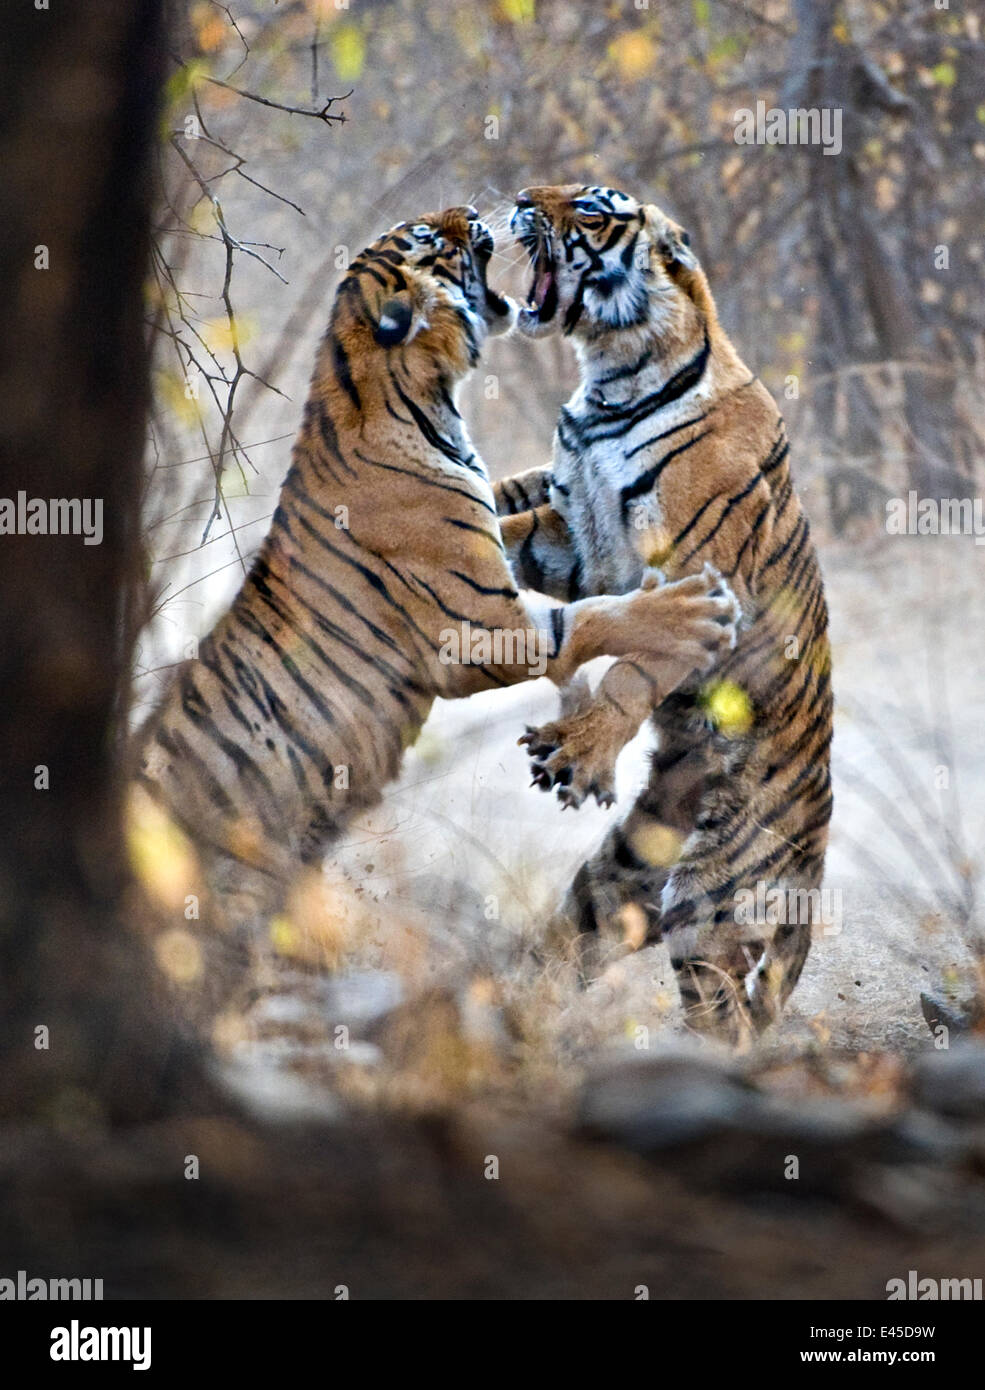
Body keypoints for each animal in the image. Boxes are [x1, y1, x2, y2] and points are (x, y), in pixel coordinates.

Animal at [136, 201, 739, 1000]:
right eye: (426, 240)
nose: (472, 210)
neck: (404, 389)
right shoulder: (478, 628)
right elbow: (588, 618)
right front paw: (693, 612)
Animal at [494, 184, 833, 1045]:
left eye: (587, 210)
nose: (519, 199)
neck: (609, 378)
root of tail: (817, 851)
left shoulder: (696, 573)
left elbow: (636, 666)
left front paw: (583, 743)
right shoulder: (573, 535)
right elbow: (509, 534)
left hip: (708, 898)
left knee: (728, 1018)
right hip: (625, 875)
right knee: (583, 934)